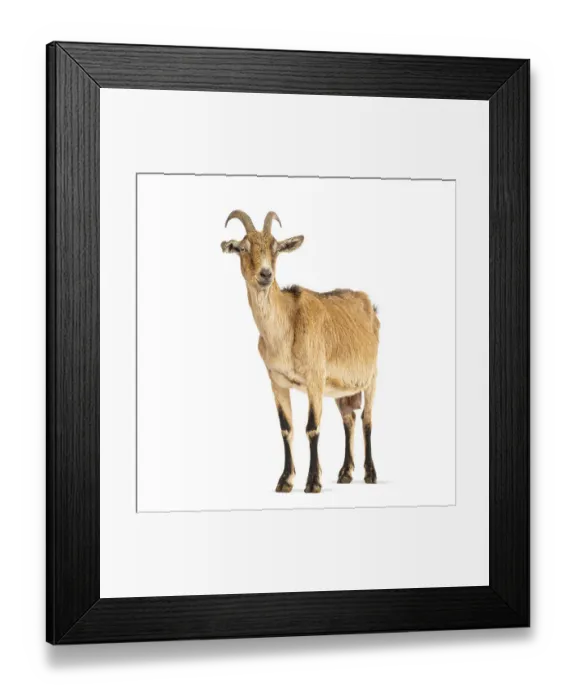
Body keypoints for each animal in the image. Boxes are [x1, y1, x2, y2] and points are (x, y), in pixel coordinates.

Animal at [221, 210, 380, 493]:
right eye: (243, 248)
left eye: (276, 248)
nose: (265, 274)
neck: (286, 327)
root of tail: (370, 306)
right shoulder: (277, 382)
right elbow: (287, 428)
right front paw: (285, 480)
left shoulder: (315, 379)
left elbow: (312, 428)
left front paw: (313, 482)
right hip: (341, 388)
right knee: (349, 420)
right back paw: (345, 473)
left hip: (372, 377)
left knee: (367, 420)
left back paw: (370, 474)